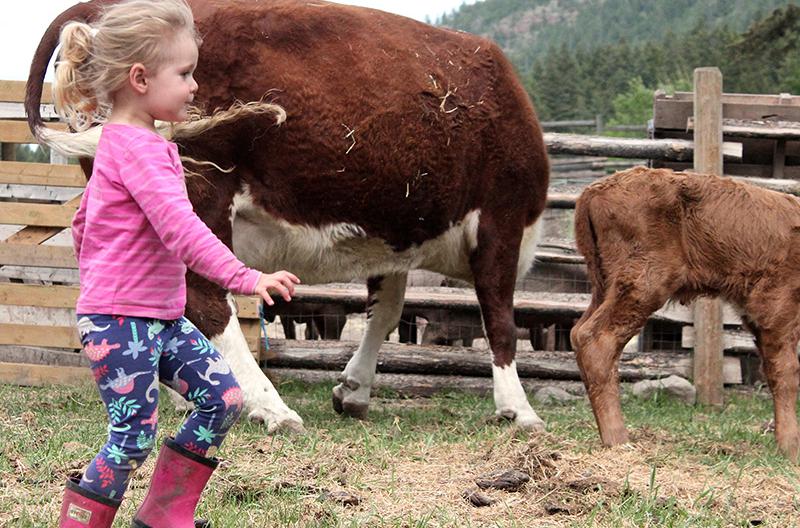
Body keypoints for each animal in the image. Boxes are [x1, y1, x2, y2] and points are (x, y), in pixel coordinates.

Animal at [26, 0, 552, 434]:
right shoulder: (501, 221)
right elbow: (499, 318)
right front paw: (518, 409)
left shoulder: (395, 236)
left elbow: (385, 311)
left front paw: (353, 389)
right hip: (198, 191)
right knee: (208, 300)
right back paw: (269, 405)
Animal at [568, 167, 800, 460]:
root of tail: (594, 191)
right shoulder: (778, 307)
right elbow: (786, 371)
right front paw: (791, 447)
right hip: (643, 284)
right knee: (598, 339)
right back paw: (619, 441)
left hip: (605, 285)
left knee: (580, 332)